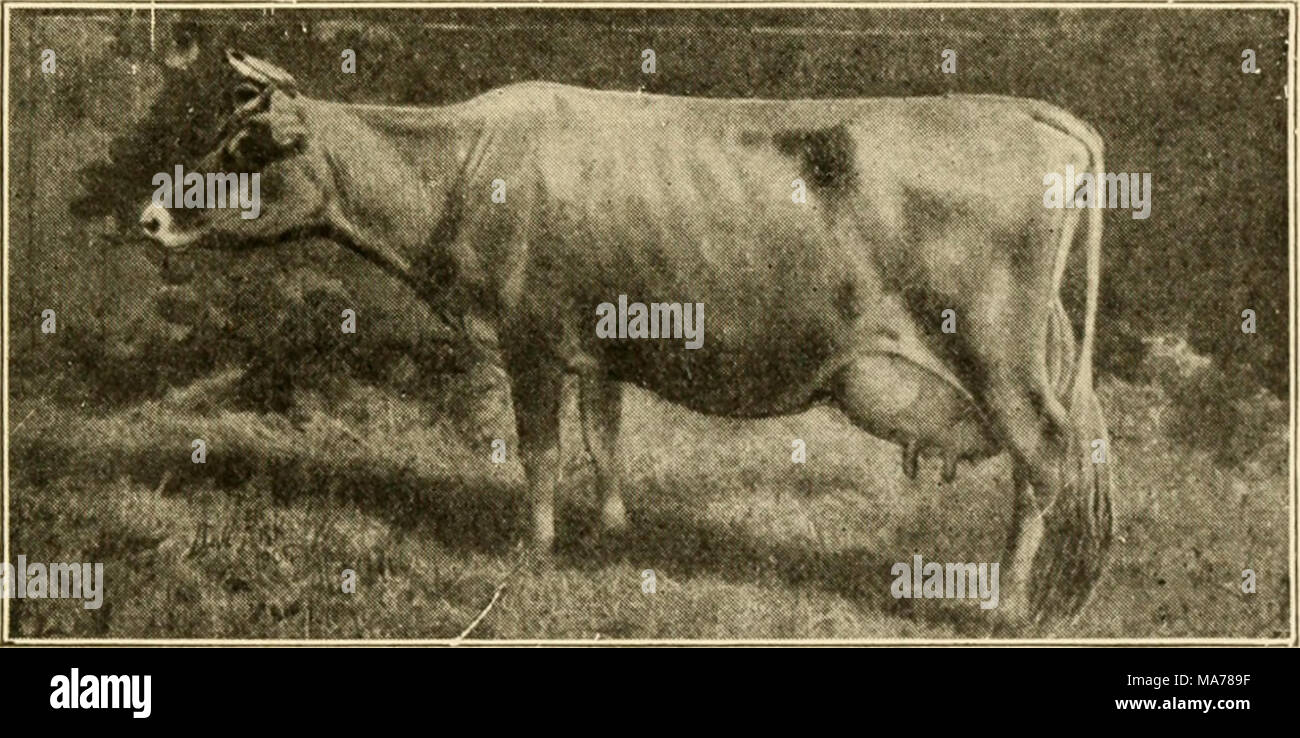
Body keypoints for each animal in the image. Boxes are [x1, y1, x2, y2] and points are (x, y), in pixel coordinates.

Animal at [139, 50, 1112, 624]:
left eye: (242, 152)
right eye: (217, 136)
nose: (151, 216)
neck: (462, 166)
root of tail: (1029, 111)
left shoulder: (530, 338)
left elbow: (539, 450)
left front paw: (532, 551)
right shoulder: (595, 341)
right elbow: (604, 436)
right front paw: (612, 531)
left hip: (997, 353)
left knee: (1044, 455)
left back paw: (1009, 605)